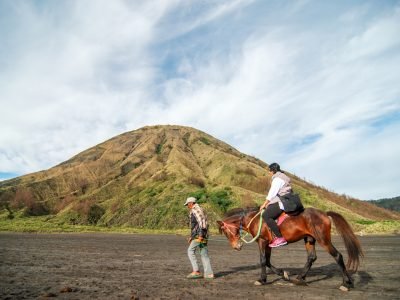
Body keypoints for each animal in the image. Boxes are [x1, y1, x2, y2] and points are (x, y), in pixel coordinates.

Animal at [217, 207, 364, 290]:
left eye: (226, 232)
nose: (236, 247)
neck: (255, 220)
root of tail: (324, 213)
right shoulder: (268, 244)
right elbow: (268, 261)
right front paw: (284, 274)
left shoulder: (262, 242)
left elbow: (263, 260)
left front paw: (262, 280)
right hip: (309, 239)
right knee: (311, 257)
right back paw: (299, 278)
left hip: (323, 240)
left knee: (337, 256)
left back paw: (346, 283)